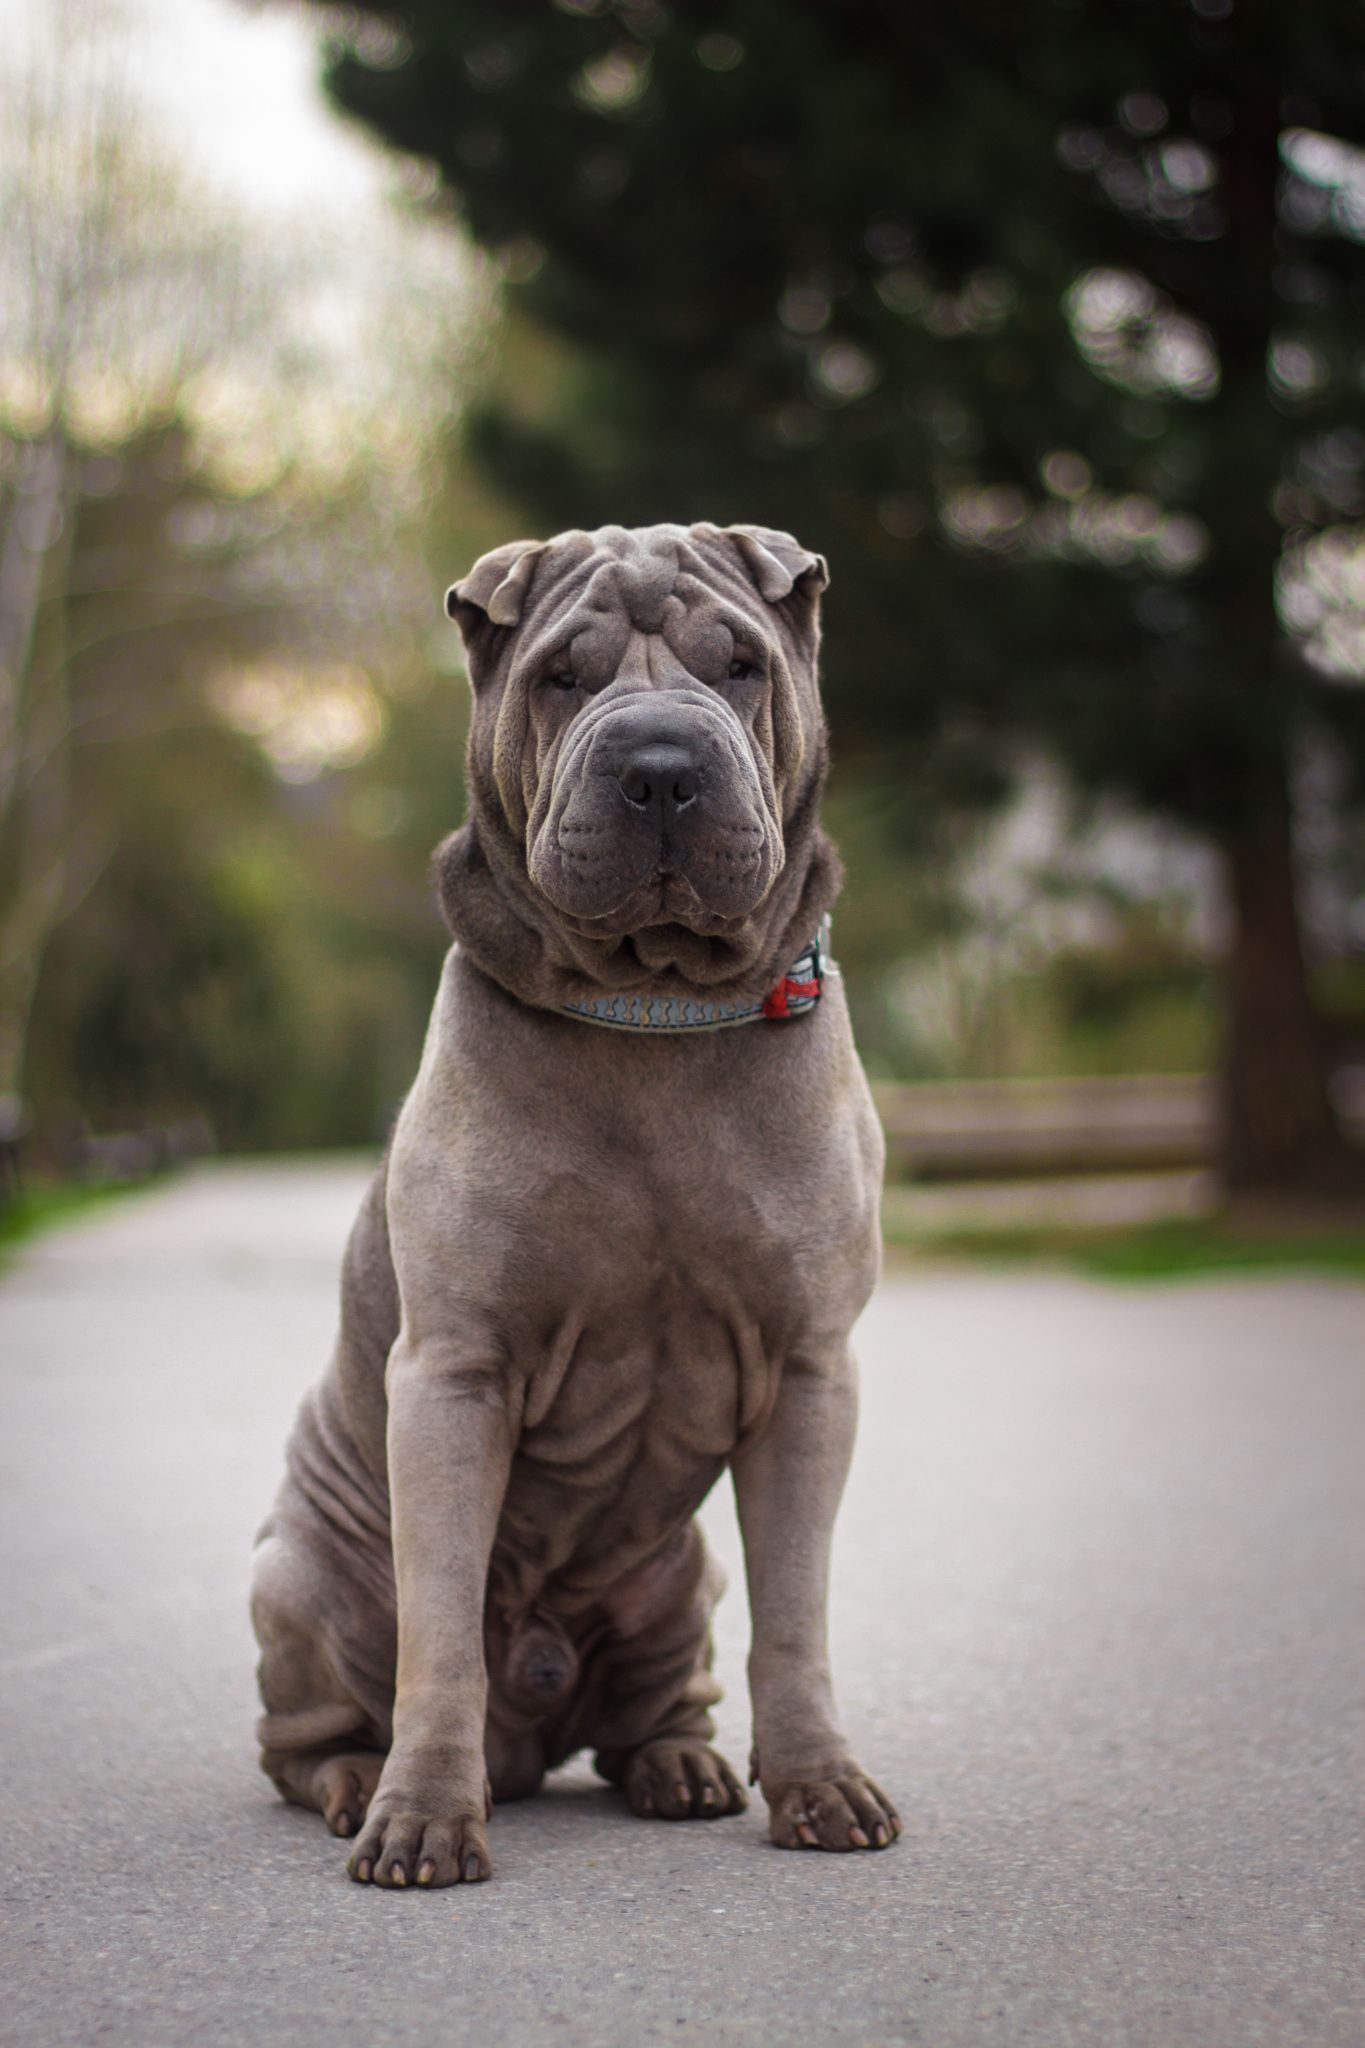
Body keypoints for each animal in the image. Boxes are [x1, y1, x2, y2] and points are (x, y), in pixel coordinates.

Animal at [252, 516, 900, 1884]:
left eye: (740, 663)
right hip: (298, 1578)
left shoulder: (811, 1373)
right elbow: (441, 1630)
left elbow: (796, 1612)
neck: (651, 1008)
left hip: (683, 1574)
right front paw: (422, 1815)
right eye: (561, 675)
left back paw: (684, 1767)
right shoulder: (456, 1372)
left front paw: (820, 1782)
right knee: (305, 1735)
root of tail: (532, 1739)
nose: (660, 768)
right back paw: (357, 1780)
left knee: (658, 1703)